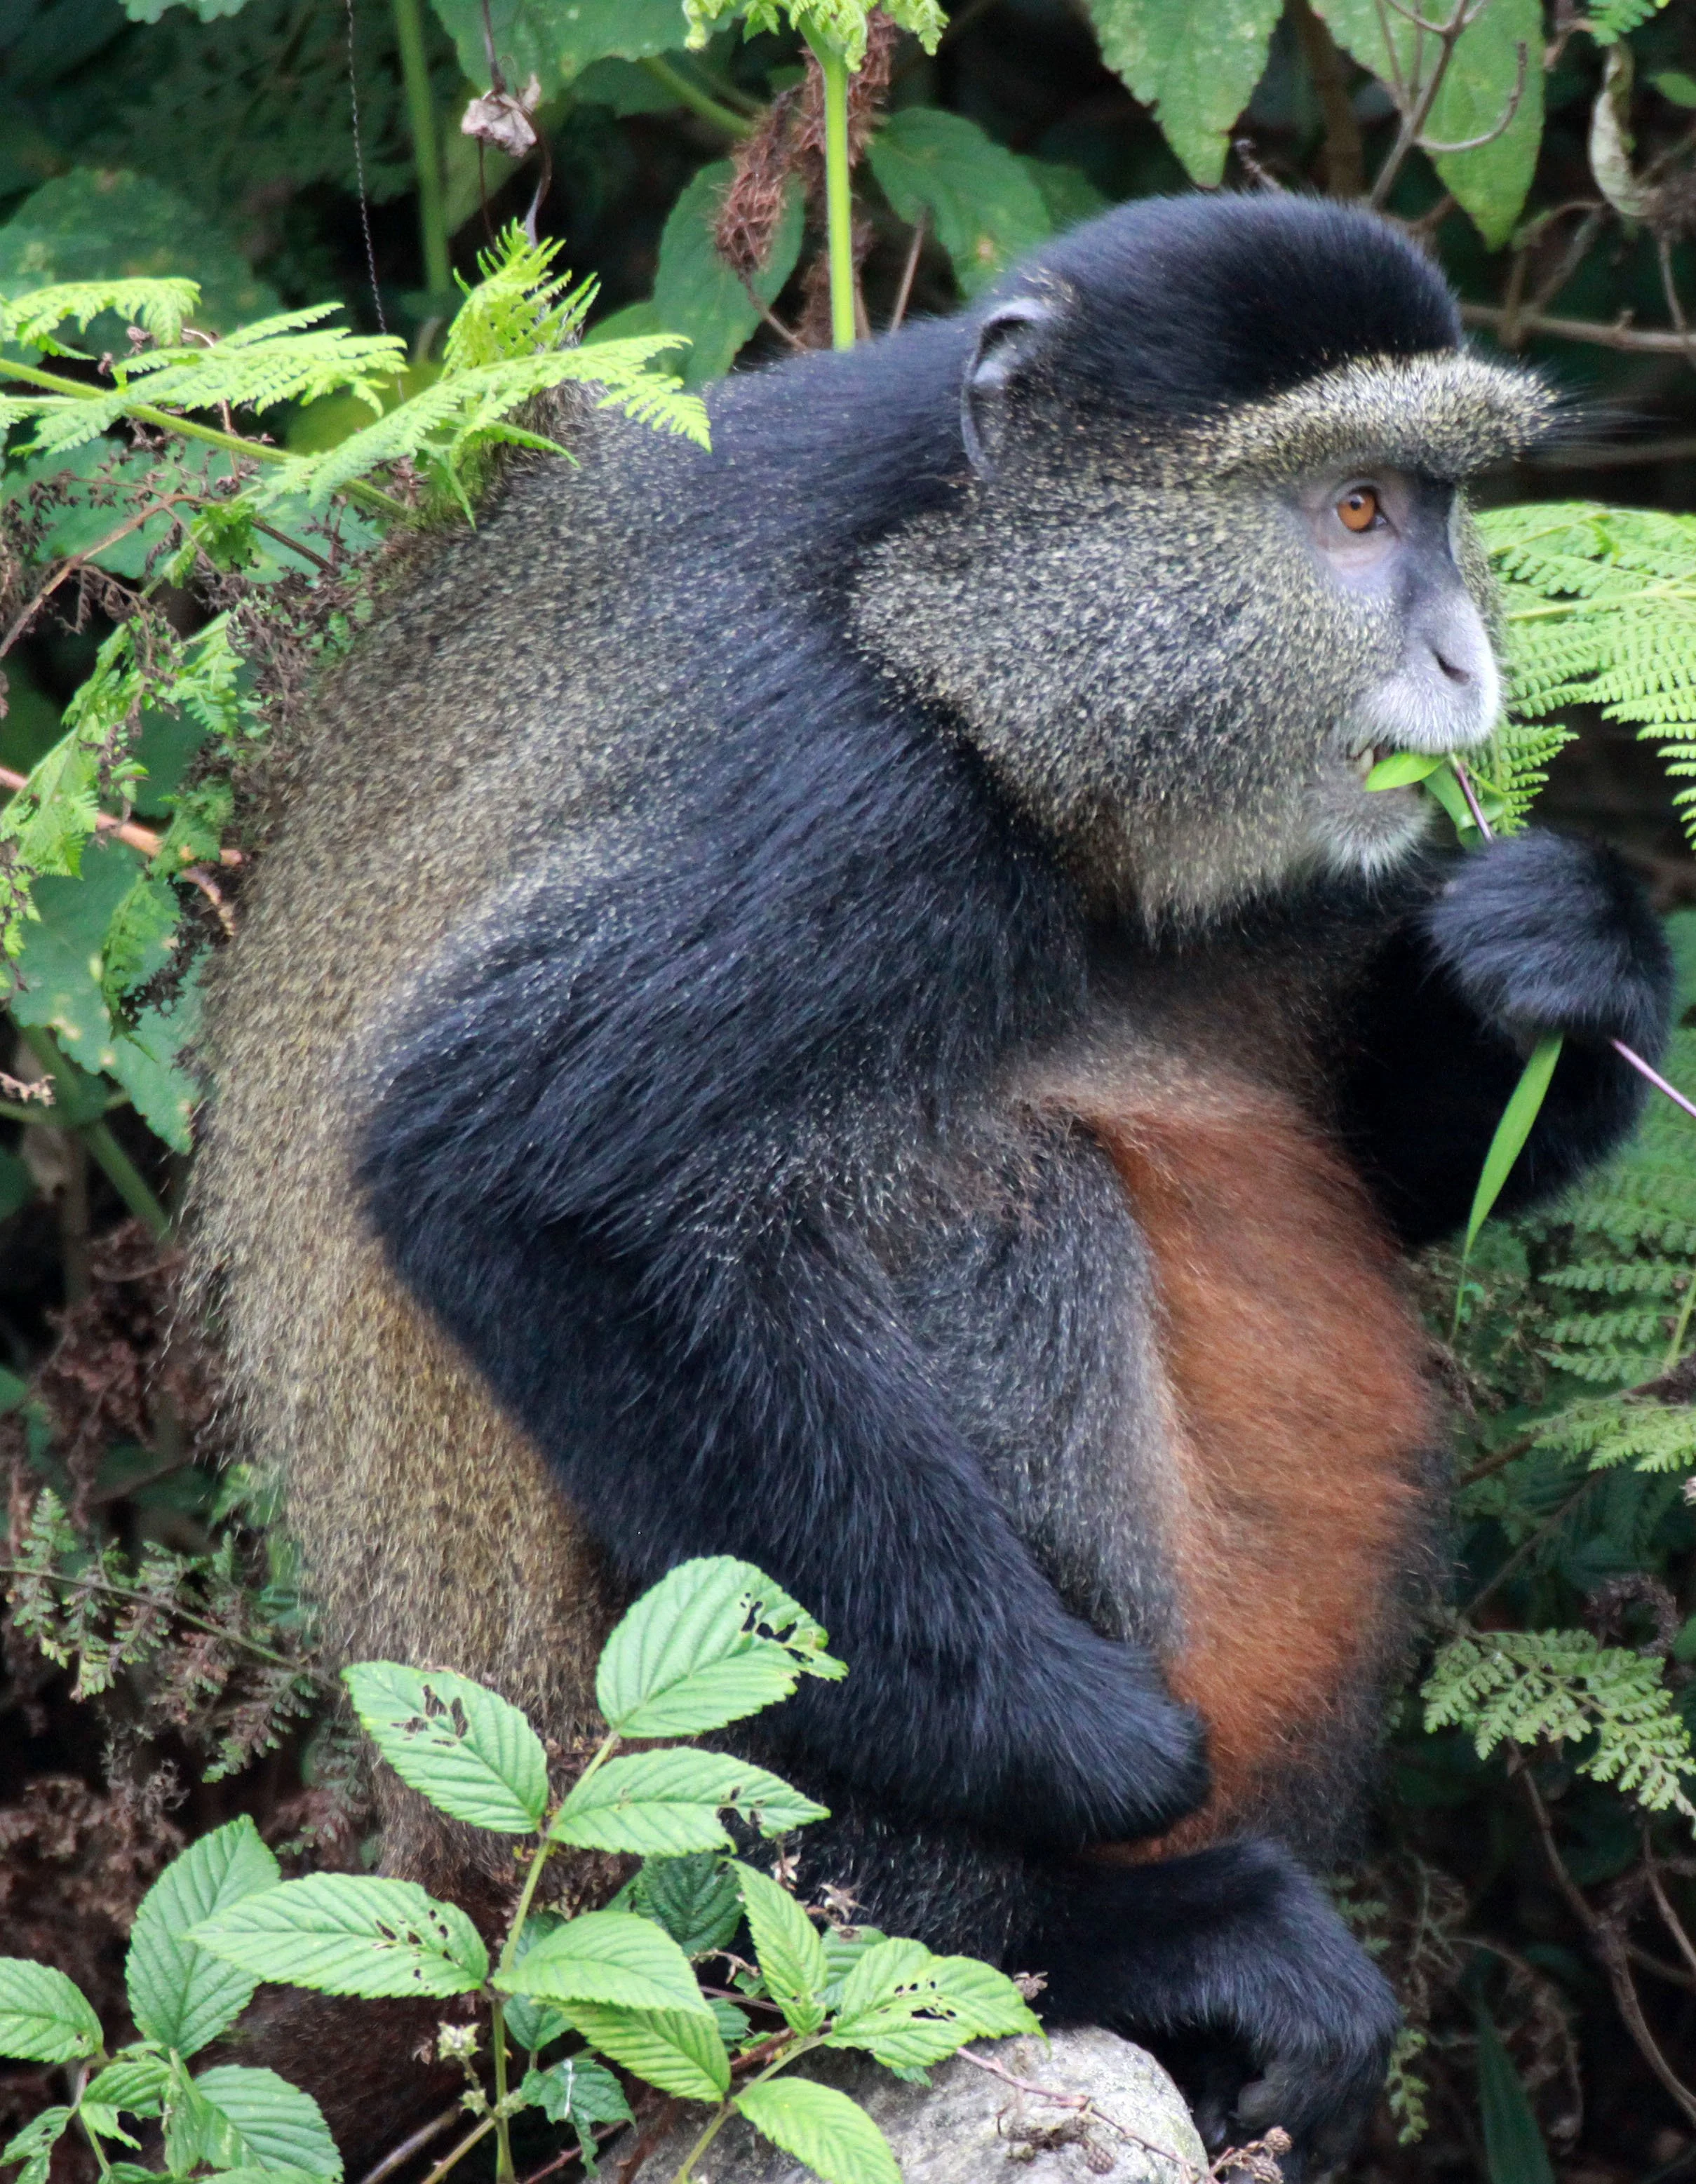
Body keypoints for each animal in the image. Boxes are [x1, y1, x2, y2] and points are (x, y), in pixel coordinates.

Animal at [191, 192, 1674, 2175]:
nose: (1467, 667)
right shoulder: (833, 788)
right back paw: (1078, 1926)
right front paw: (1086, 1745)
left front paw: (1562, 945)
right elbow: (500, 1166)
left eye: (1440, 506)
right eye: (1353, 511)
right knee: (994, 1206)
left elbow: (1388, 1155)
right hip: (631, 1823)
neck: (946, 605)